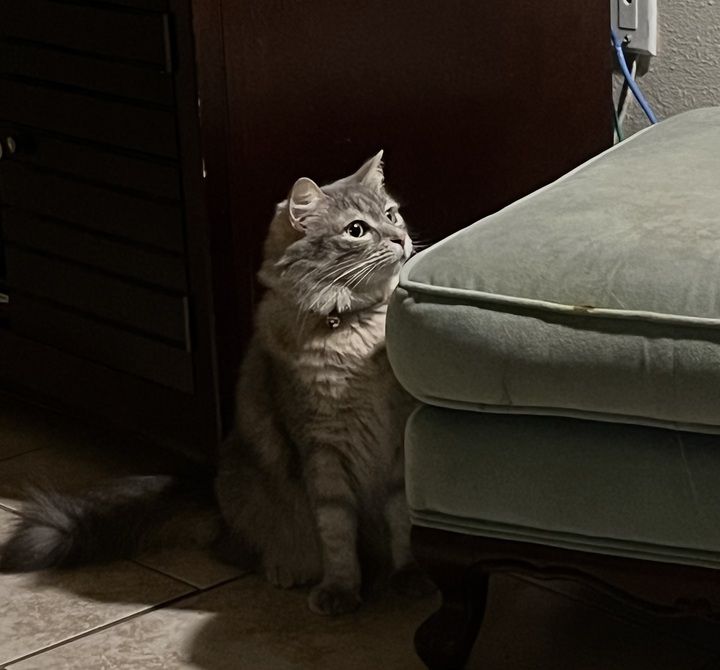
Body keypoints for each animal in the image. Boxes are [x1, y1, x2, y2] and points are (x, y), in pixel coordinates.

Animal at [0, 155, 428, 616]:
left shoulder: (397, 445)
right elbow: (336, 534)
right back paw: (283, 569)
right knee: (238, 550)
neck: (351, 329)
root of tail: (214, 501)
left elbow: (401, 523)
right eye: (356, 230)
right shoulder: (320, 449)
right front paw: (341, 590)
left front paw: (409, 578)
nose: (401, 238)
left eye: (391, 214)